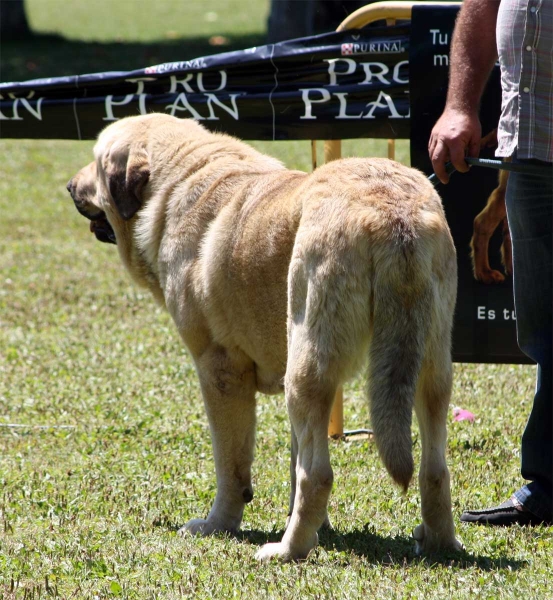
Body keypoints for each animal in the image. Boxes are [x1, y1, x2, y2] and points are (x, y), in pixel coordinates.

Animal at [68, 113, 462, 564]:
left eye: (96, 162)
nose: (70, 187)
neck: (180, 176)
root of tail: (393, 211)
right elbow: (291, 463)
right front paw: (317, 526)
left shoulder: (220, 372)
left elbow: (232, 465)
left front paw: (218, 525)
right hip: (426, 367)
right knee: (434, 467)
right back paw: (439, 541)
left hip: (305, 372)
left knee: (318, 474)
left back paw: (287, 550)